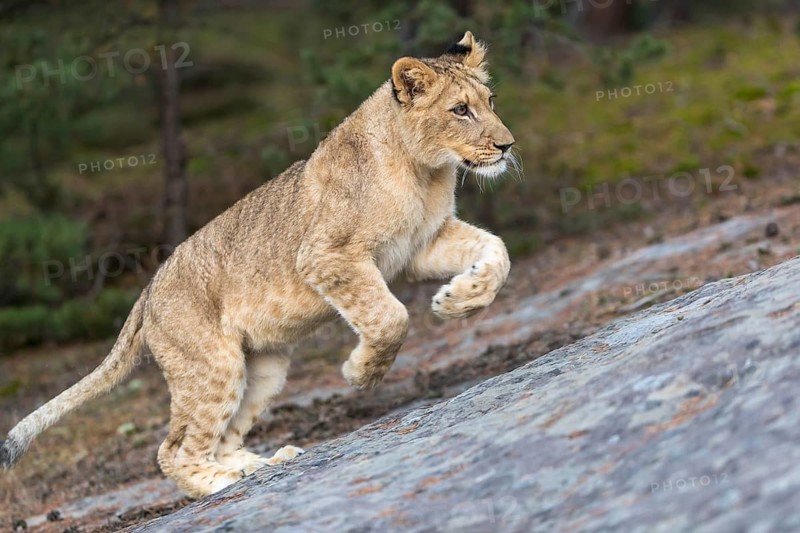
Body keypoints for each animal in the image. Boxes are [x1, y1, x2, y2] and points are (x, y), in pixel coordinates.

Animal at [1, 31, 516, 497]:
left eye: (491, 101)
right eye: (460, 110)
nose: (508, 146)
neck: (426, 171)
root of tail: (147, 290)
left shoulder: (421, 245)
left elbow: (498, 251)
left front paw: (457, 301)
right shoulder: (327, 254)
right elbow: (390, 317)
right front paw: (361, 372)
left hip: (263, 370)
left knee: (221, 439)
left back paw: (263, 463)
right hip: (214, 364)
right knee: (173, 449)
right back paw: (225, 481)